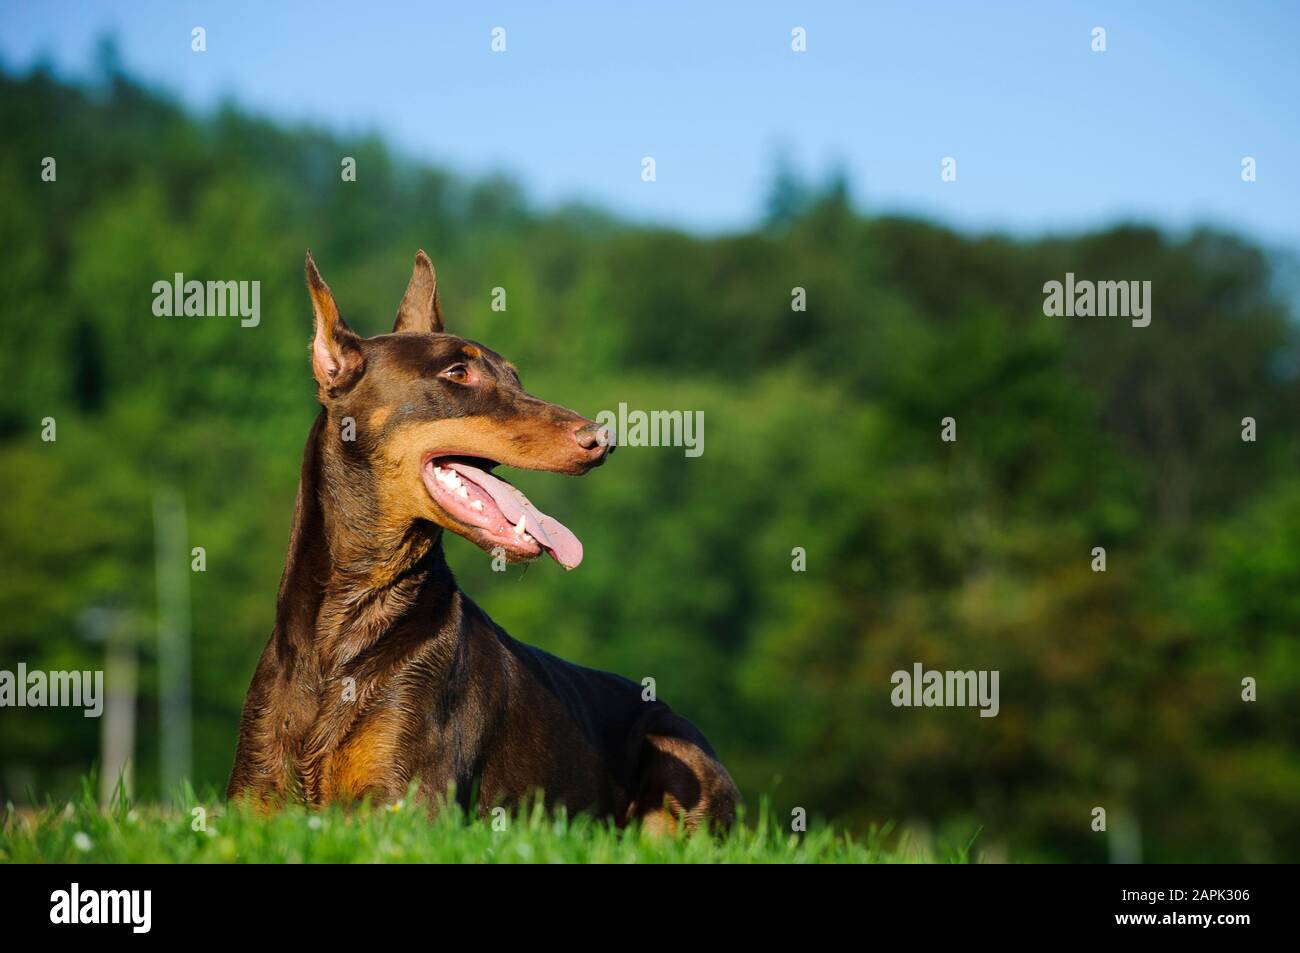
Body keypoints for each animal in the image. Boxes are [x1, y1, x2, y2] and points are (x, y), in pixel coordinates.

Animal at [227, 249, 738, 826]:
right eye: (457, 372)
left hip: (680, 758)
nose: (602, 439)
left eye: (515, 377)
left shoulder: (409, 803)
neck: (349, 616)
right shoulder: (251, 798)